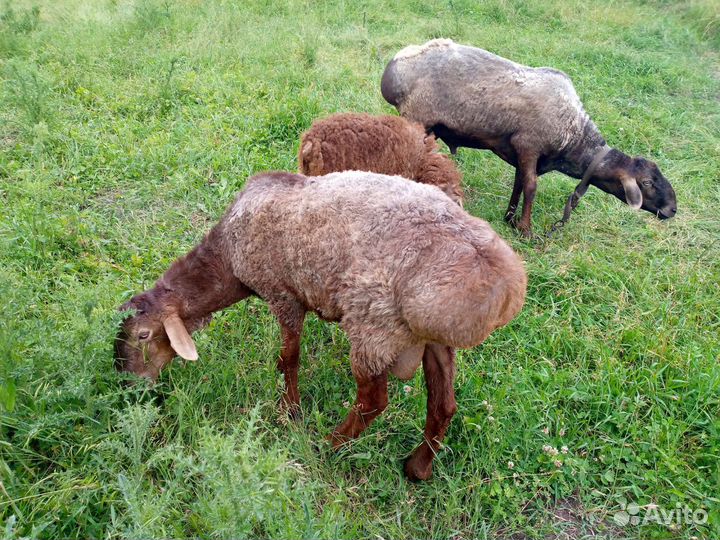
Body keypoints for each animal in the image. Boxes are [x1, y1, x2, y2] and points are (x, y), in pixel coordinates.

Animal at [115, 170, 527, 480]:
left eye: (143, 335)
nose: (129, 386)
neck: (227, 258)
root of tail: (504, 284)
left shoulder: (283, 294)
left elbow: (289, 358)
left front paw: (290, 412)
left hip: (373, 326)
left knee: (373, 401)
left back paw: (328, 444)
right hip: (431, 339)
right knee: (443, 404)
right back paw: (417, 467)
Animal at [381, 39, 678, 236]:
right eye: (647, 183)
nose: (673, 209)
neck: (574, 135)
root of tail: (394, 68)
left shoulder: (524, 156)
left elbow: (520, 183)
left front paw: (510, 219)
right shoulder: (528, 145)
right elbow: (532, 187)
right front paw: (525, 230)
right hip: (416, 117)